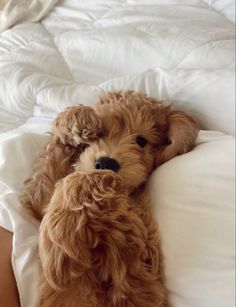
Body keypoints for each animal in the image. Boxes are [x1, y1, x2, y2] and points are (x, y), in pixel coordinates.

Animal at [20, 91, 198, 307]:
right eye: (100, 134)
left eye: (141, 141)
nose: (106, 162)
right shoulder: (41, 197)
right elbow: (45, 185)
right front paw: (76, 120)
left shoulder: (143, 272)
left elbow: (82, 179)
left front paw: (58, 263)